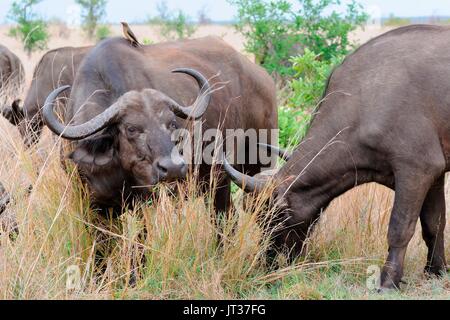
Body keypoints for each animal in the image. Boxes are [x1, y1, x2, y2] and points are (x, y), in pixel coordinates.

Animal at [44, 35, 276, 212]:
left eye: (172, 124)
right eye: (131, 128)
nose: (173, 168)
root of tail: (261, 76)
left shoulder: (144, 203)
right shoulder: (92, 205)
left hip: (248, 171)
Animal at [223, 25, 448, 290]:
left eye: (272, 219)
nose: (267, 264)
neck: (363, 104)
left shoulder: (416, 169)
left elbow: (400, 227)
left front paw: (388, 280)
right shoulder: (434, 175)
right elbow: (434, 224)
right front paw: (436, 270)